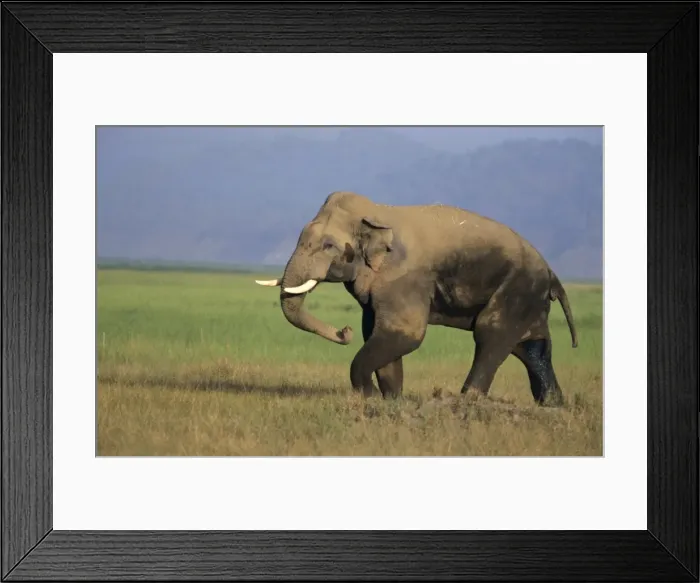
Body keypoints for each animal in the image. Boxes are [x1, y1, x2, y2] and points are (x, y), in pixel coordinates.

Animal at [256, 191, 577, 405]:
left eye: (328, 246)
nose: (343, 331)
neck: (376, 213)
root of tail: (552, 273)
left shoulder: (404, 278)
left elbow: (405, 334)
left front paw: (371, 398)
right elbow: (375, 331)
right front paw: (391, 402)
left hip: (518, 288)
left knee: (492, 334)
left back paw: (465, 402)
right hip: (529, 298)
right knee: (533, 349)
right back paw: (552, 406)